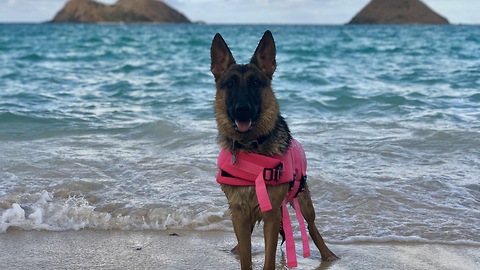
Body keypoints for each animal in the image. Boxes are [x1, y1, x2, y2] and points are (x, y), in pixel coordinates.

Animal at [210, 30, 338, 268]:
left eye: (256, 83)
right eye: (230, 83)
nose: (242, 110)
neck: (250, 147)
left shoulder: (271, 215)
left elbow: (269, 260)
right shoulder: (239, 214)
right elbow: (246, 257)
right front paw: (241, 254)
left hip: (304, 203)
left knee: (312, 227)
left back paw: (328, 254)